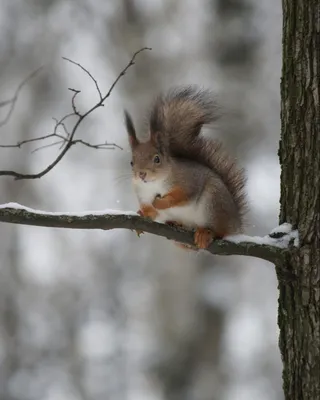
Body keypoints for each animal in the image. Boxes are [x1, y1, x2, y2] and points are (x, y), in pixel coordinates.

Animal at [124, 86, 248, 250]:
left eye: (157, 159)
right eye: (131, 162)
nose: (141, 174)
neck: (155, 183)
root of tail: (236, 224)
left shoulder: (189, 181)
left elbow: (182, 196)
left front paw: (161, 203)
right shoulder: (143, 195)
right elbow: (152, 213)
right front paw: (143, 213)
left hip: (214, 202)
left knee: (219, 231)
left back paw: (205, 234)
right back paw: (176, 224)